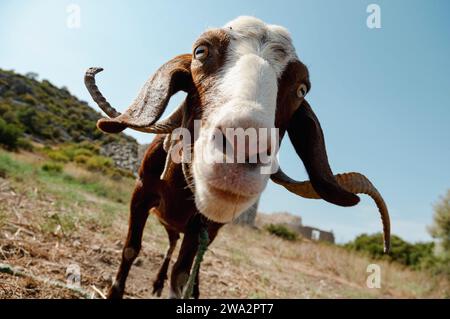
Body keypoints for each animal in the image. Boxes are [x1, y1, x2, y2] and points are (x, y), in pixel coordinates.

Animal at [85, 16, 390, 298]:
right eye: (200, 51)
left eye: (302, 88)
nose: (243, 149)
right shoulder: (141, 193)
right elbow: (130, 249)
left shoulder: (201, 225)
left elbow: (181, 273)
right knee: (170, 244)